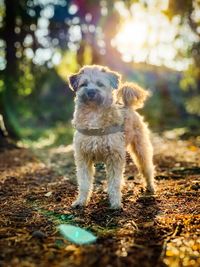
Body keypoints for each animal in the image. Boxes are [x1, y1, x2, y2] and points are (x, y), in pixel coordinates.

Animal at [68, 64, 155, 209]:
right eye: (83, 84)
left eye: (100, 84)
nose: (91, 92)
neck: (94, 114)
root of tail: (128, 106)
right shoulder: (83, 158)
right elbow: (84, 183)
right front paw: (80, 201)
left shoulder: (114, 157)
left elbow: (114, 183)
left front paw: (115, 203)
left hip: (141, 149)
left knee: (146, 167)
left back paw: (151, 187)